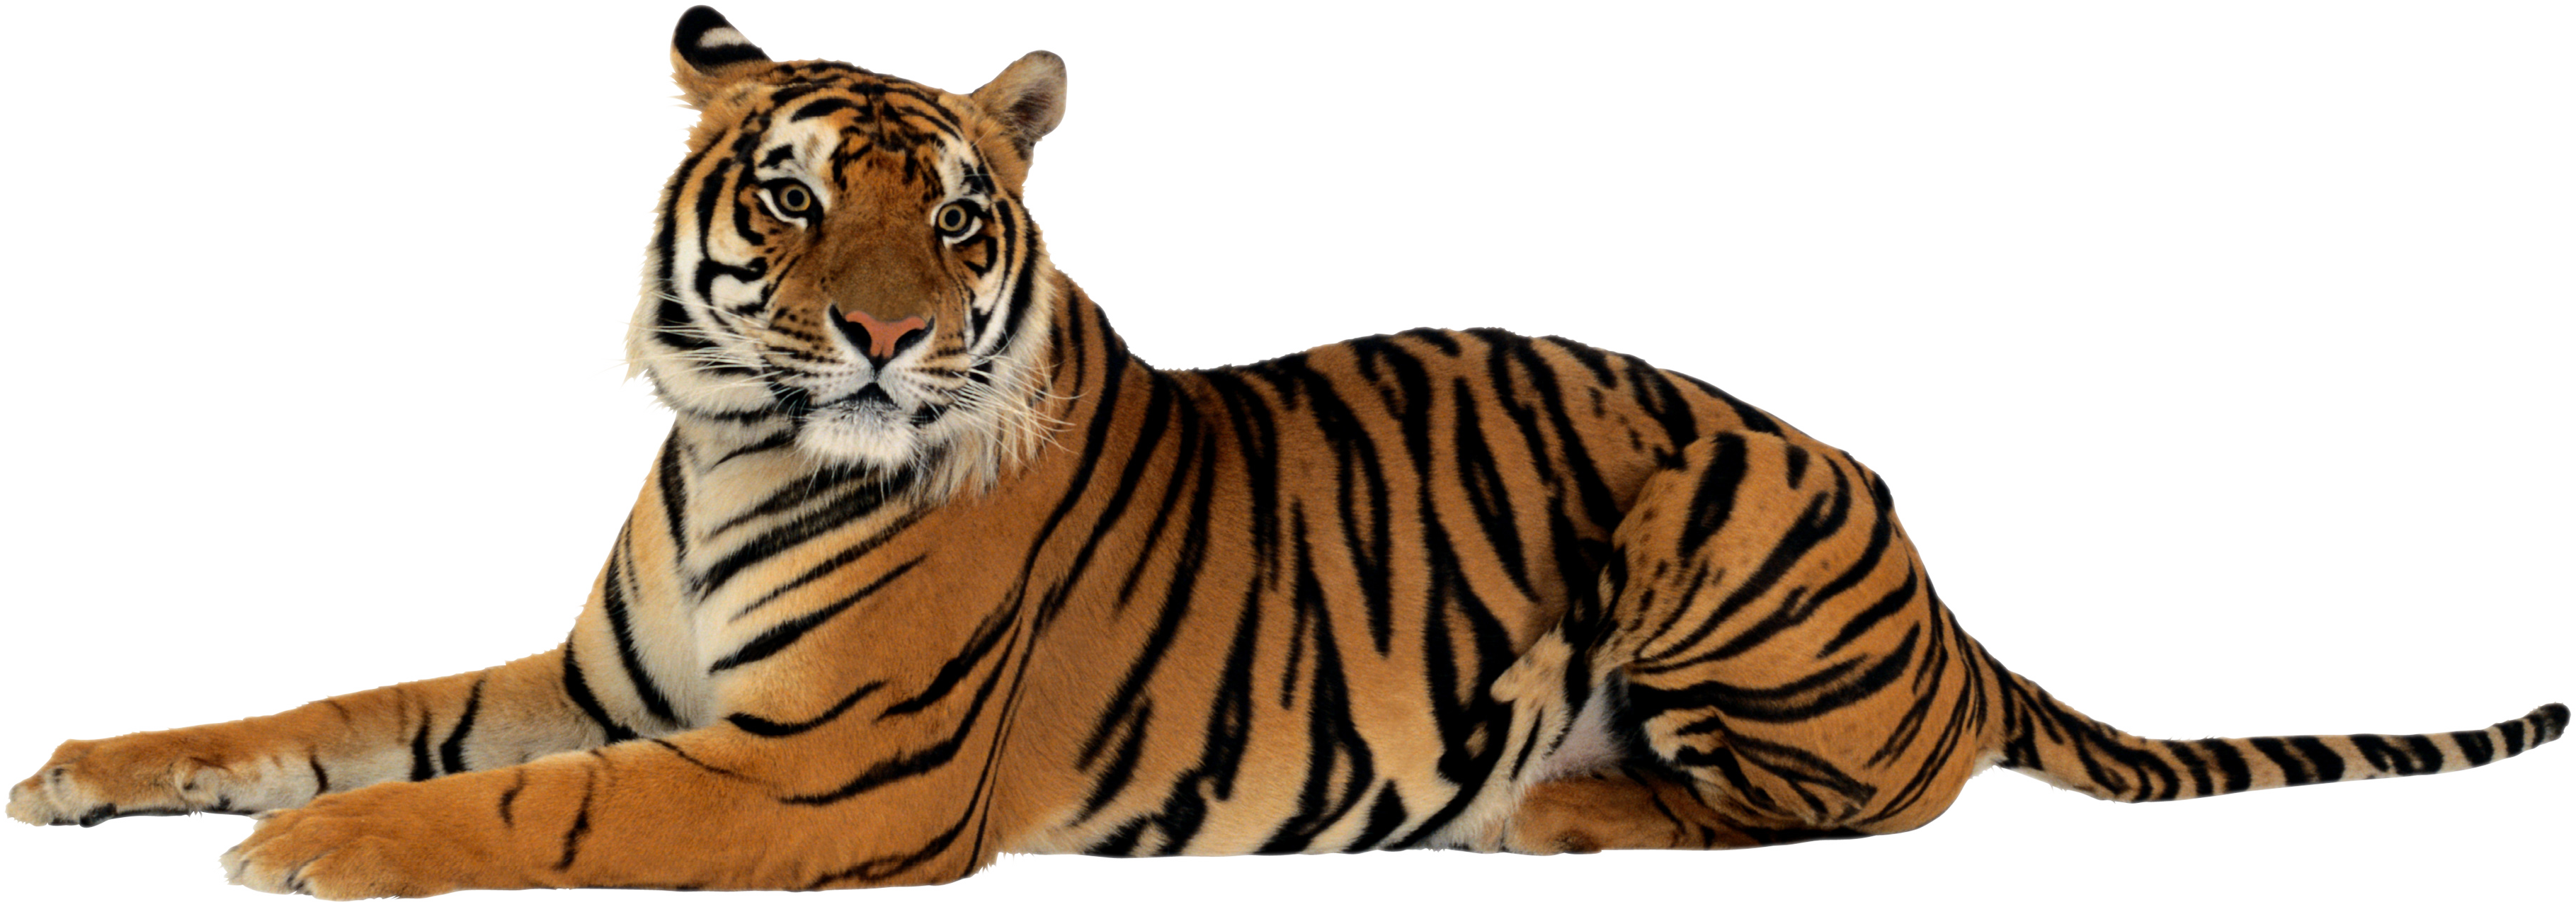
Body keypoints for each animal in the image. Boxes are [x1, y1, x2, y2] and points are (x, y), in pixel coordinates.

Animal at [7, 5, 2563, 898]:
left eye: (954, 217)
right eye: (793, 196)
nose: (887, 333)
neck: (735, 446)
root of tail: (1946, 593)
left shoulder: (818, 774)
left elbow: (525, 810)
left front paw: (304, 861)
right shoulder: (611, 677)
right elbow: (338, 707)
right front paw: (87, 772)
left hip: (1715, 504)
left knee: (1867, 796)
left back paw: (1557, 807)